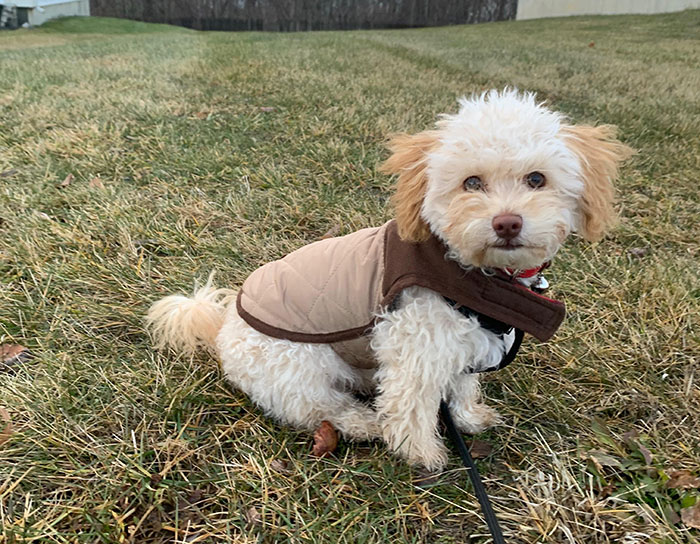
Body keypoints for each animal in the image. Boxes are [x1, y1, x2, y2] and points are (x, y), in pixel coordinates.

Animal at [148, 90, 636, 472]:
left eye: (537, 179)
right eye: (471, 183)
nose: (507, 223)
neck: (466, 268)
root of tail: (223, 327)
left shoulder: (464, 342)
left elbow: (461, 386)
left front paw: (468, 418)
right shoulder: (417, 346)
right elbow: (410, 406)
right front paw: (422, 453)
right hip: (299, 366)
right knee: (317, 407)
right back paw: (362, 424)